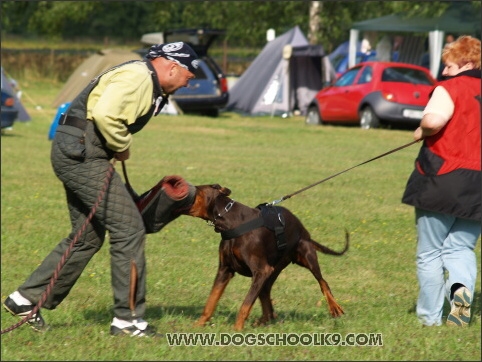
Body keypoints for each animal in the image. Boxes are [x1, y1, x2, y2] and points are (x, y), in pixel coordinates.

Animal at [179, 184, 348, 330]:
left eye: (195, 188)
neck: (230, 221)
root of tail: (305, 232)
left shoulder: (261, 270)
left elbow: (245, 304)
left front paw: (237, 329)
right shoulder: (225, 270)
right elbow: (211, 301)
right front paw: (198, 325)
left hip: (305, 256)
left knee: (323, 282)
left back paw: (335, 308)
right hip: (273, 270)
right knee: (266, 295)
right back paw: (265, 320)